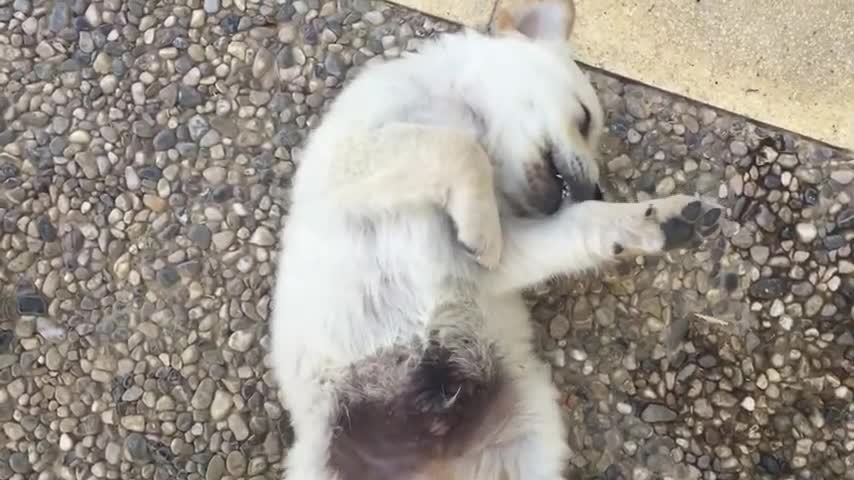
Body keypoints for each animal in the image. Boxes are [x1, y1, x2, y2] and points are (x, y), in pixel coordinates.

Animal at [270, 1, 724, 478]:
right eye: (584, 119)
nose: (598, 191)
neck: (465, 112)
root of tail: (436, 460)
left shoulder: (503, 260)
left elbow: (580, 223)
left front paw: (659, 221)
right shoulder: (351, 159)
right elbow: (457, 148)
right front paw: (480, 224)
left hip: (526, 439)